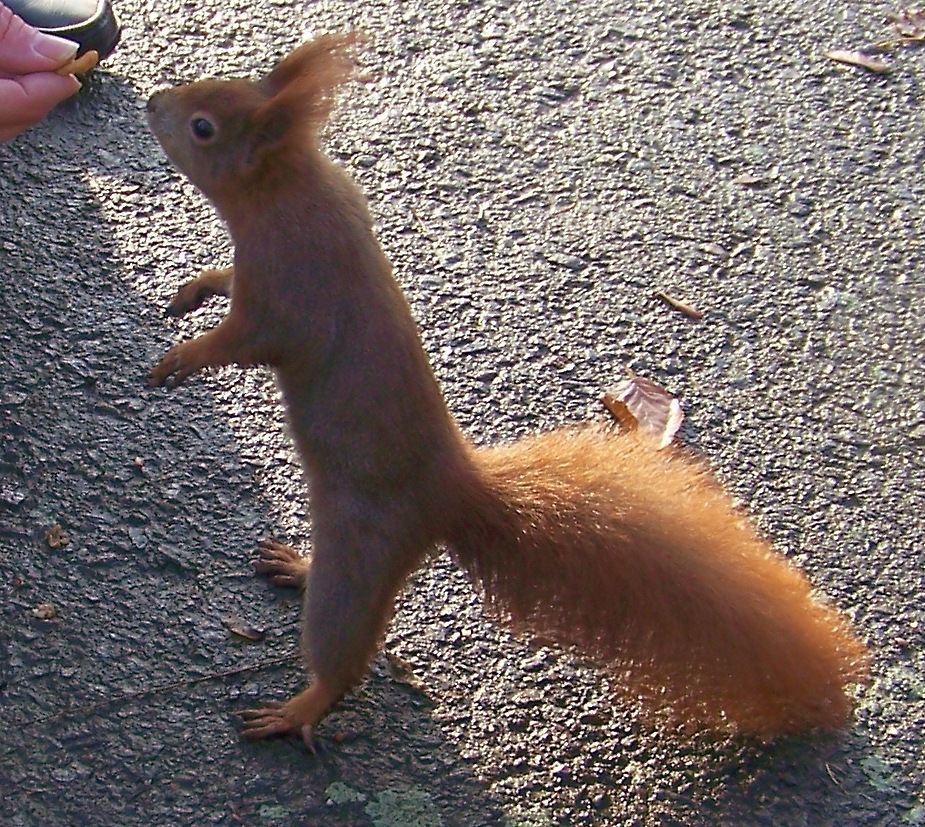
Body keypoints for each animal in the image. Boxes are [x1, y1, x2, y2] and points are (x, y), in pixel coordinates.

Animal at [144, 34, 868, 752]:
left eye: (203, 128)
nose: (153, 101)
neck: (288, 187)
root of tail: (450, 491)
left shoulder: (289, 290)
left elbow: (246, 338)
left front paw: (183, 357)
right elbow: (223, 280)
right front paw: (194, 289)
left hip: (361, 552)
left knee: (345, 655)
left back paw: (298, 708)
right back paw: (296, 565)